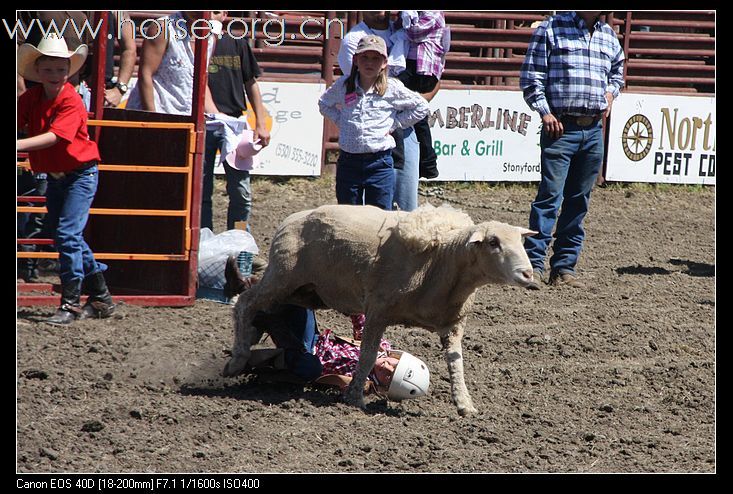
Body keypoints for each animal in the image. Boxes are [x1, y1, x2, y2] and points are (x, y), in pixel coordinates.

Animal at [220, 203, 536, 414]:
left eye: (520, 241)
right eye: (493, 242)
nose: (528, 274)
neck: (442, 258)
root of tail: (292, 218)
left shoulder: (453, 323)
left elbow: (456, 362)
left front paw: (464, 404)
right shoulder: (377, 310)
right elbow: (368, 354)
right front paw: (355, 397)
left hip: (305, 292)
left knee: (258, 303)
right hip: (284, 277)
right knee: (246, 303)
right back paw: (237, 359)